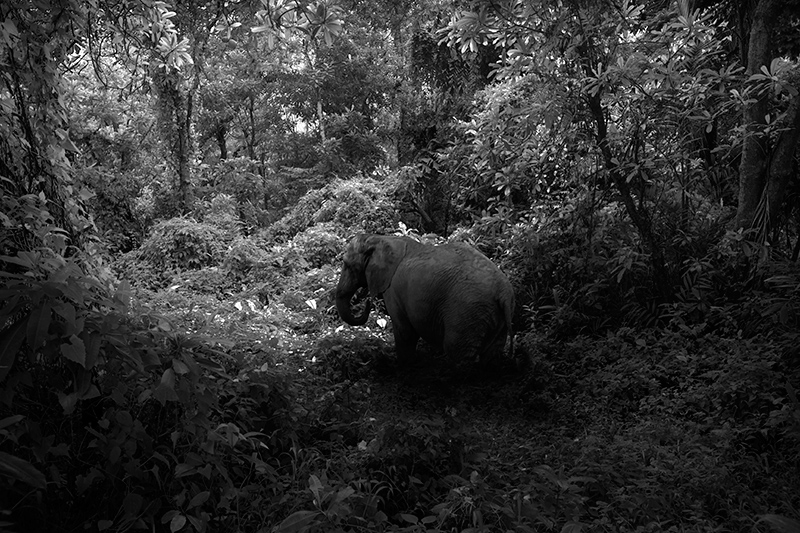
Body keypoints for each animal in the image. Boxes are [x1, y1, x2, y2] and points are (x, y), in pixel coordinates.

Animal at [334, 233, 516, 362]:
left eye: (347, 265)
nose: (366, 302)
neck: (381, 238)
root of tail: (503, 293)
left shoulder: (393, 290)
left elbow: (405, 332)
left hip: (467, 312)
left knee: (457, 353)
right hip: (494, 315)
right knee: (491, 355)